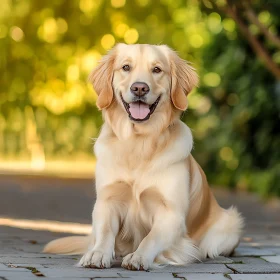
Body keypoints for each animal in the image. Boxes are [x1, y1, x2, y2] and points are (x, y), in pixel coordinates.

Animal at [43, 43, 243, 270]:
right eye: (126, 67)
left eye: (157, 69)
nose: (139, 88)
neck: (138, 143)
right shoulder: (107, 201)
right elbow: (104, 232)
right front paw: (97, 254)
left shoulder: (171, 213)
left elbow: (151, 238)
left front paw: (139, 257)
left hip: (230, 223)